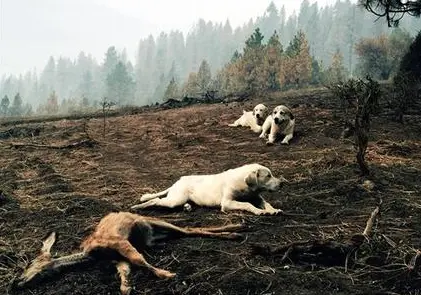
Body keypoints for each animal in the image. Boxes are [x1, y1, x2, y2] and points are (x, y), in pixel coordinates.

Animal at [16, 213, 243, 295]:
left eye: (29, 264)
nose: (15, 283)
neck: (93, 254)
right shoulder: (118, 258)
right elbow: (125, 273)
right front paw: (127, 287)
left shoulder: (119, 242)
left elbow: (139, 260)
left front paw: (167, 274)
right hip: (157, 235)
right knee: (187, 231)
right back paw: (236, 229)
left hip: (154, 221)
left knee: (188, 229)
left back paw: (236, 230)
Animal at [133, 163, 288, 216]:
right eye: (268, 176)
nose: (282, 184)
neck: (245, 187)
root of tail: (178, 181)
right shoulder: (227, 203)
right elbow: (247, 204)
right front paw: (259, 211)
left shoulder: (257, 197)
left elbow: (266, 203)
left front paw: (273, 210)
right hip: (175, 199)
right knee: (156, 200)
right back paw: (139, 206)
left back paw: (188, 207)